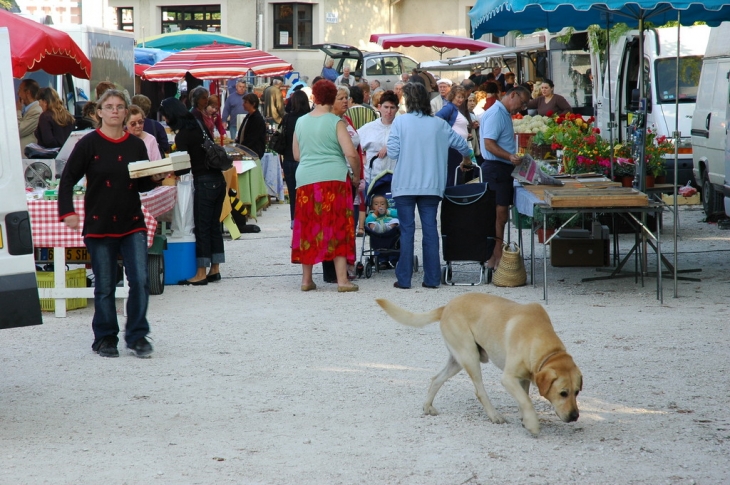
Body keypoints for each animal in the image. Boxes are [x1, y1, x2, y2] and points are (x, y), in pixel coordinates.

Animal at [376, 294, 580, 436]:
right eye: (563, 393)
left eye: (577, 392)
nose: (575, 416)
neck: (544, 345)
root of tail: (446, 306)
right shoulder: (508, 378)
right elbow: (526, 400)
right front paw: (532, 424)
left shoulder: (524, 378)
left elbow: (524, 397)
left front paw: (525, 419)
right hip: (470, 357)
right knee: (480, 392)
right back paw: (494, 415)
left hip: (457, 362)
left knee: (436, 379)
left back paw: (427, 407)